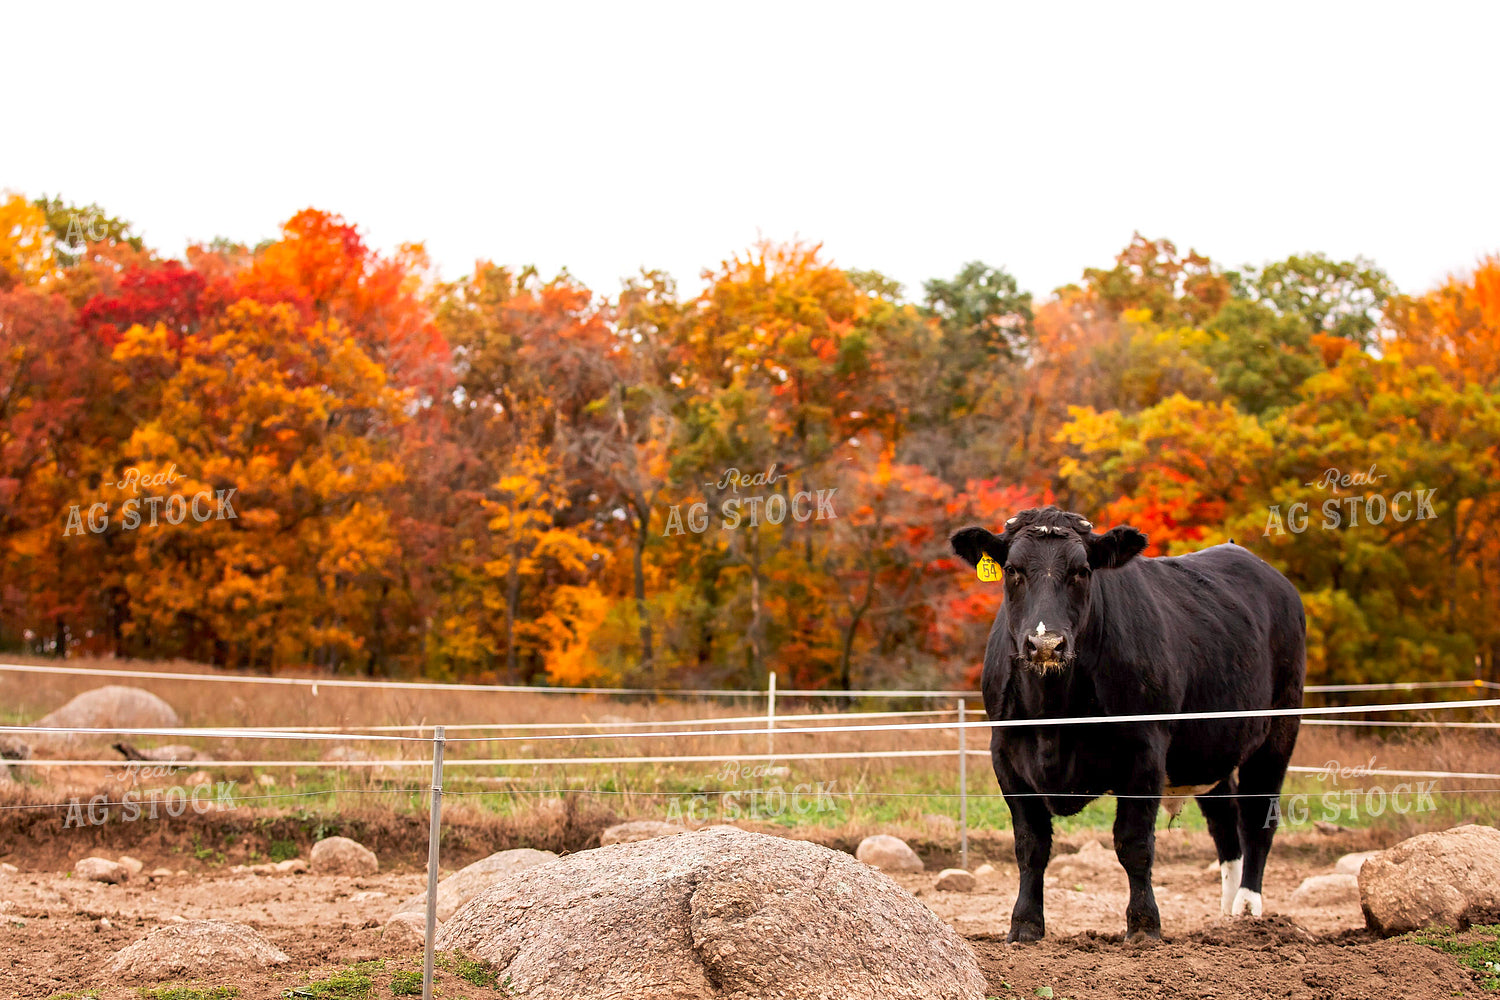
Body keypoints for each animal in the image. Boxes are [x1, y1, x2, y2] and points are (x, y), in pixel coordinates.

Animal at [950, 505, 1305, 943]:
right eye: (1013, 570)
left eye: (1082, 571)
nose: (1046, 644)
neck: (1053, 719)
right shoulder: (1006, 753)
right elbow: (1030, 845)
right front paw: (1025, 925)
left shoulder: (1145, 751)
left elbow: (1133, 843)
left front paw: (1144, 924)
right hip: (1207, 747)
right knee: (1224, 821)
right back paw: (1226, 915)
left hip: (1280, 727)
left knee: (1257, 819)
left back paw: (1248, 908)